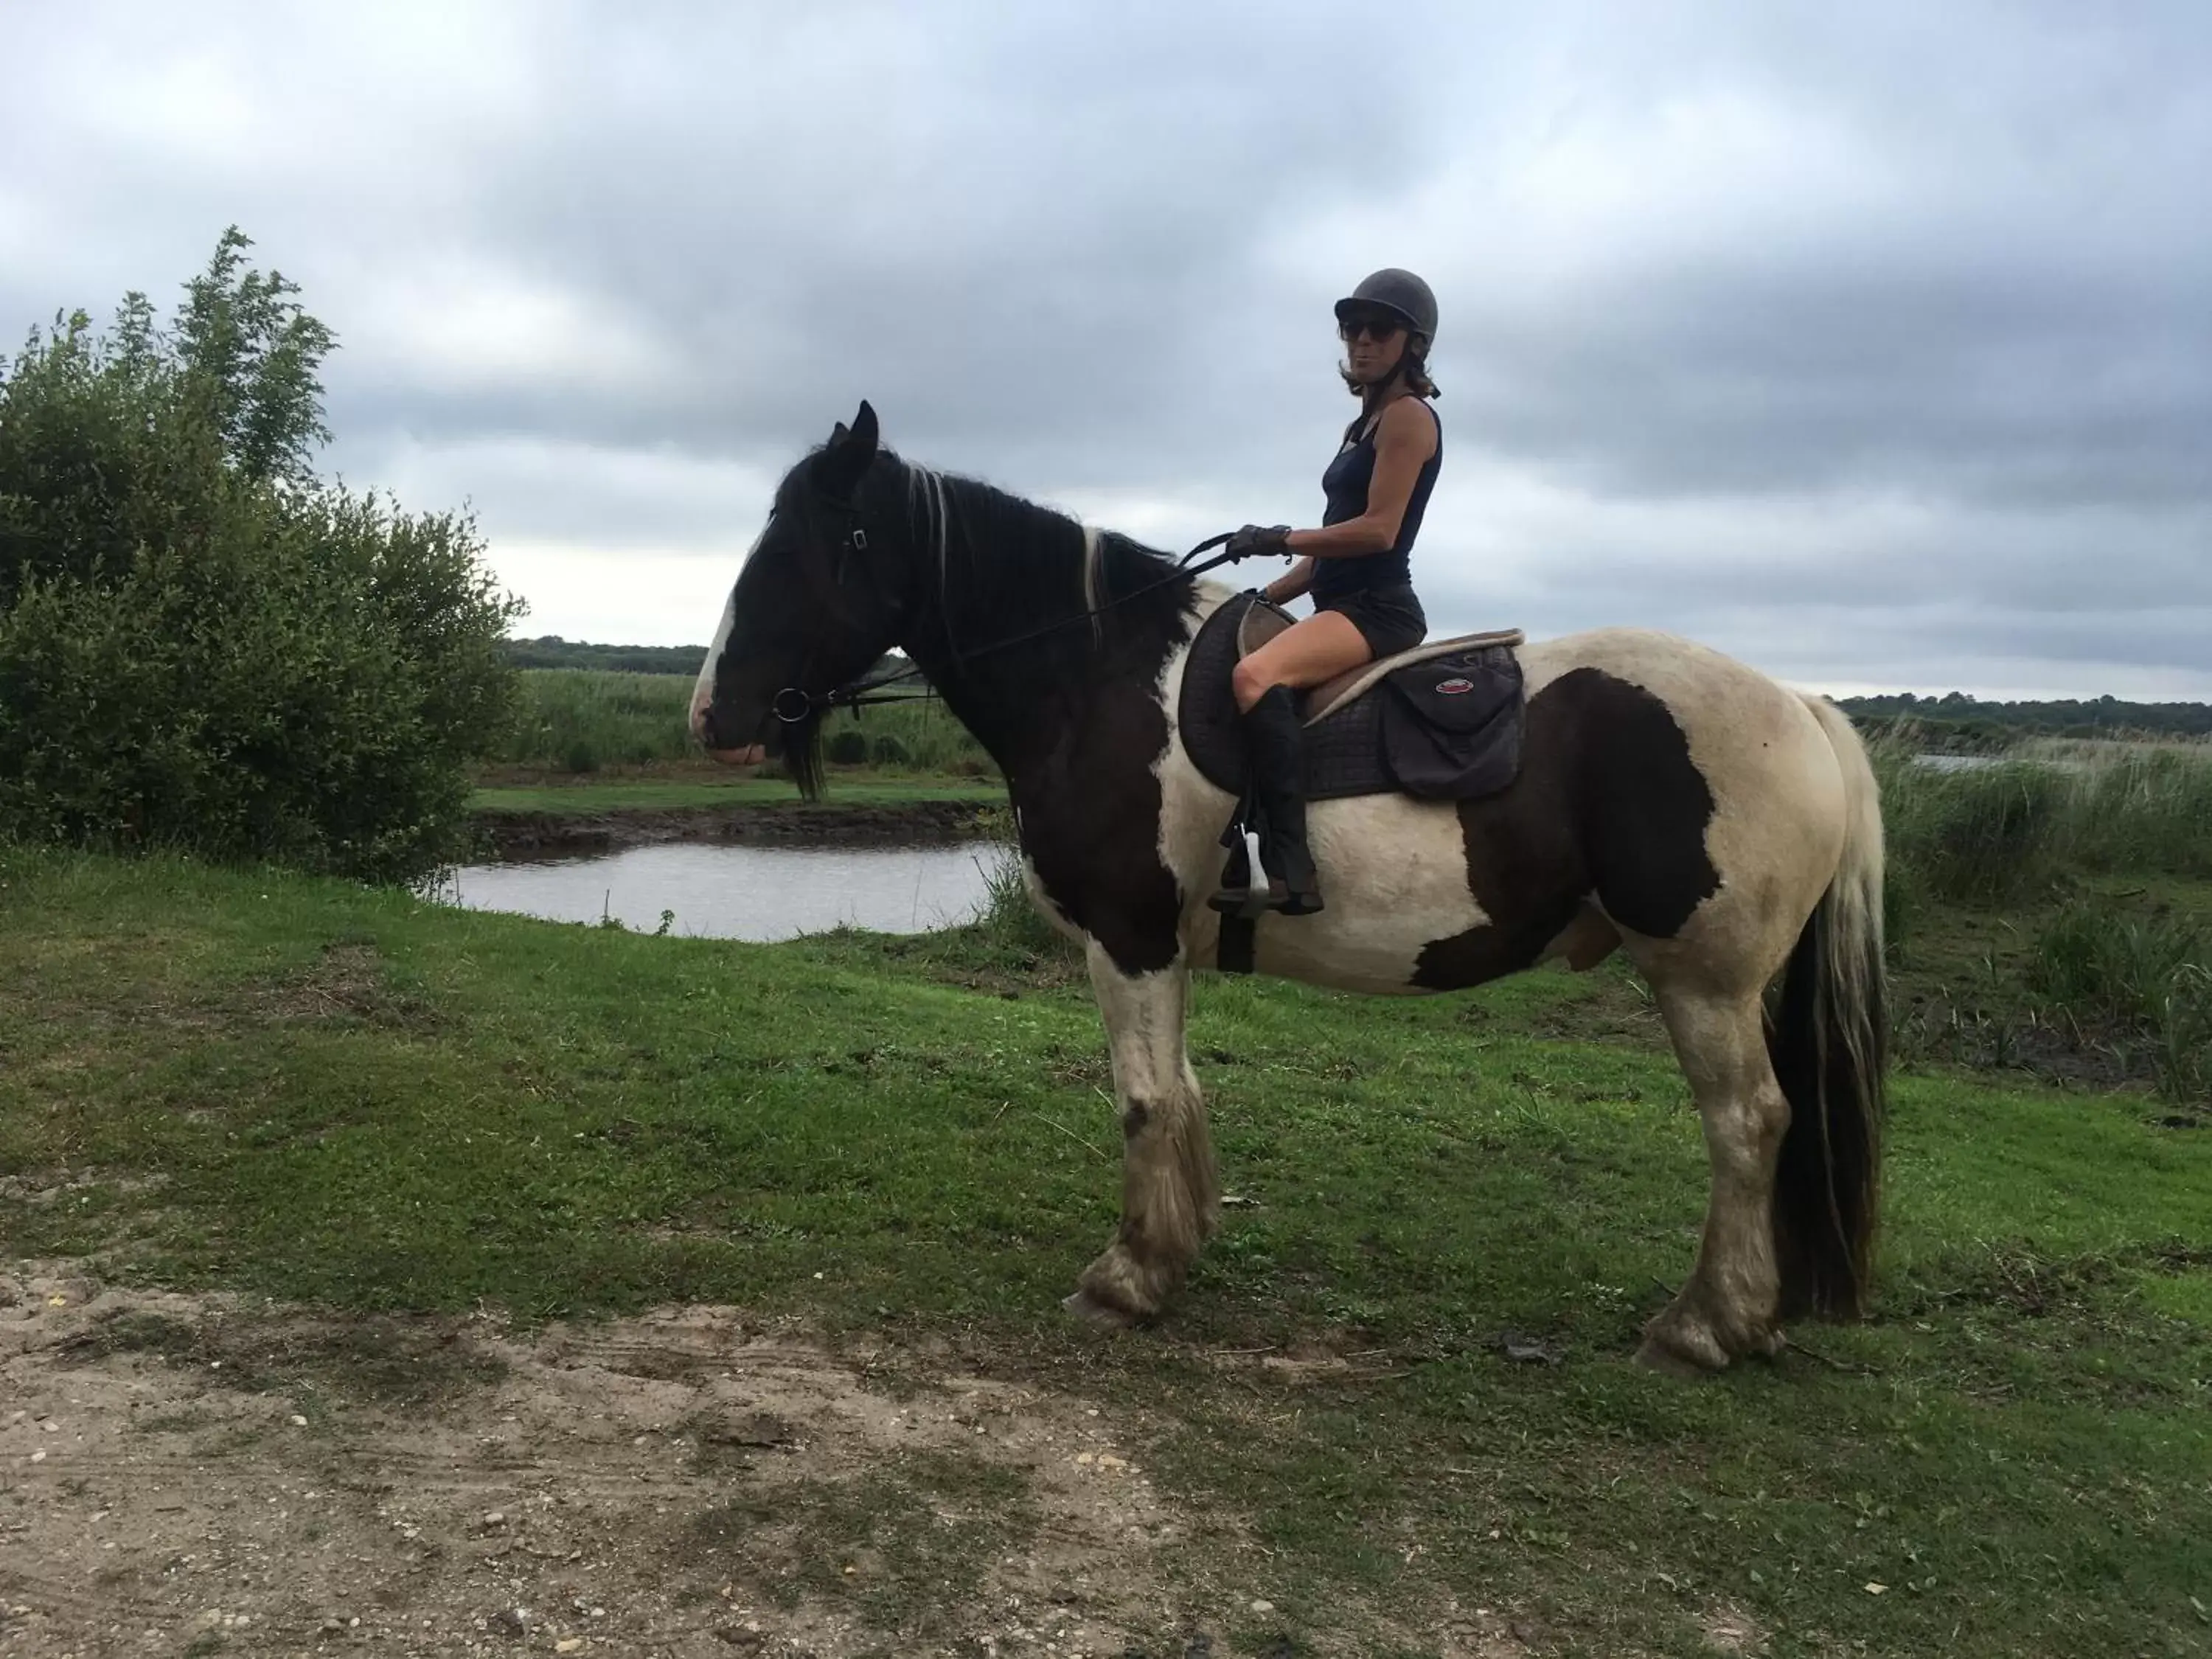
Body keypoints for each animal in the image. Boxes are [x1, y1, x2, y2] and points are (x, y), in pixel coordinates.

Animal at [690, 407, 1885, 1380]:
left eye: (807, 544)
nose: (712, 715)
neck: (1097, 681)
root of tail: (1799, 704)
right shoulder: (1160, 946)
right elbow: (1180, 1092)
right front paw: (1172, 1252)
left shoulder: (1128, 937)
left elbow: (1142, 1098)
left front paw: (1125, 1279)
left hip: (1704, 979)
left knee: (1747, 1123)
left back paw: (1705, 1325)